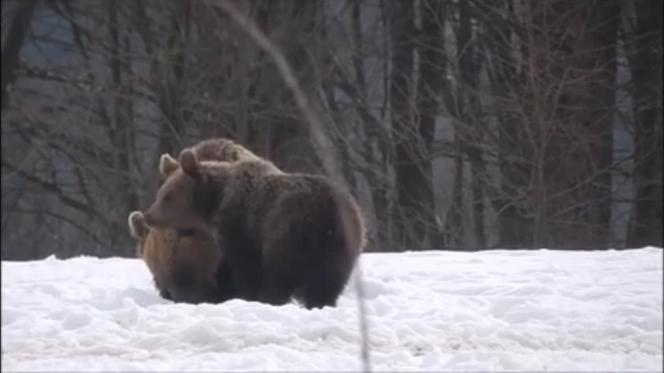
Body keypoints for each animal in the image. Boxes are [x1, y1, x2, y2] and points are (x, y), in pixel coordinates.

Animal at [142, 148, 366, 308]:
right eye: (161, 193)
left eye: (167, 196)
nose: (148, 216)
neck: (215, 202)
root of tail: (328, 211)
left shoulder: (241, 230)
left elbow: (248, 270)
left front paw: (249, 297)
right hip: (342, 244)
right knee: (327, 283)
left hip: (289, 233)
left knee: (281, 275)